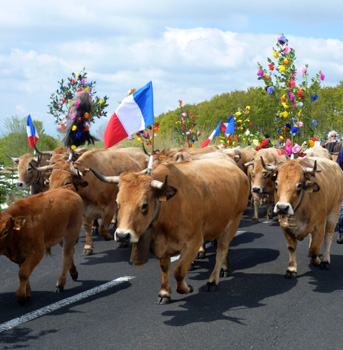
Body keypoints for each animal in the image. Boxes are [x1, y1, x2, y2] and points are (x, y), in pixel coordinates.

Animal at [90, 159, 250, 304]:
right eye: (117, 203)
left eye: (144, 205)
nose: (122, 235)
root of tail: (235, 168)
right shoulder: (162, 245)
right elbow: (165, 267)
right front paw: (164, 293)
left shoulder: (194, 241)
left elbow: (179, 270)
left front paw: (186, 288)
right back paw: (224, 267)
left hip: (234, 220)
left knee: (222, 248)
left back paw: (213, 280)